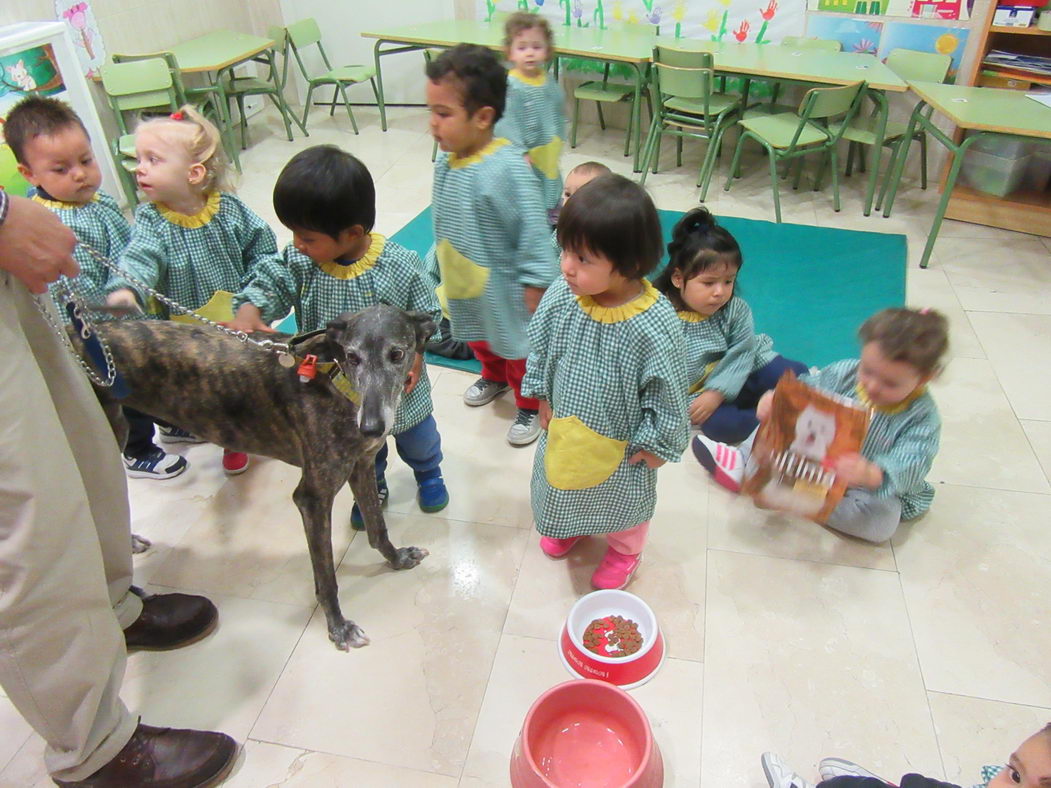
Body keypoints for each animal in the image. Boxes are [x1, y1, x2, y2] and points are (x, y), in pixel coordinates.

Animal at [76, 304, 433, 651]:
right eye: (352, 356)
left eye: (397, 354)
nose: (371, 427)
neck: (333, 376)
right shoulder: (312, 497)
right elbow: (326, 576)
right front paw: (338, 626)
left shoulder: (361, 465)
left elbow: (377, 527)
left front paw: (397, 558)